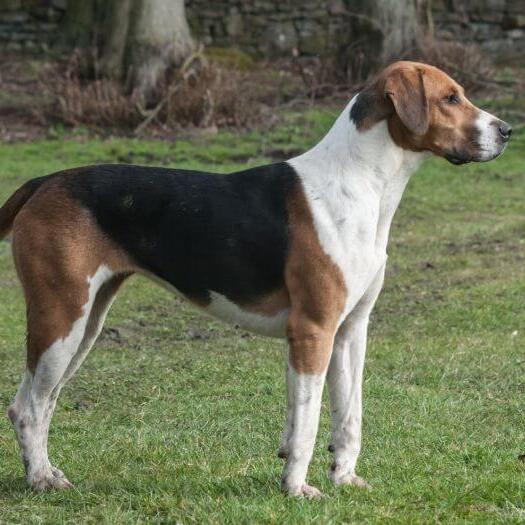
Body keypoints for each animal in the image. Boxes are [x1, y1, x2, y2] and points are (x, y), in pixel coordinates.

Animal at [0, 61, 508, 496]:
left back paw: (45, 472)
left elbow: (349, 416)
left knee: (40, 401)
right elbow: (306, 423)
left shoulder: (350, 331)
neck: (362, 180)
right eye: (450, 98)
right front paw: (296, 488)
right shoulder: (312, 331)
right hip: (61, 318)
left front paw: (344, 478)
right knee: (28, 407)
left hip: (84, 325)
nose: (507, 131)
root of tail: (43, 182)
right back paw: (40, 479)